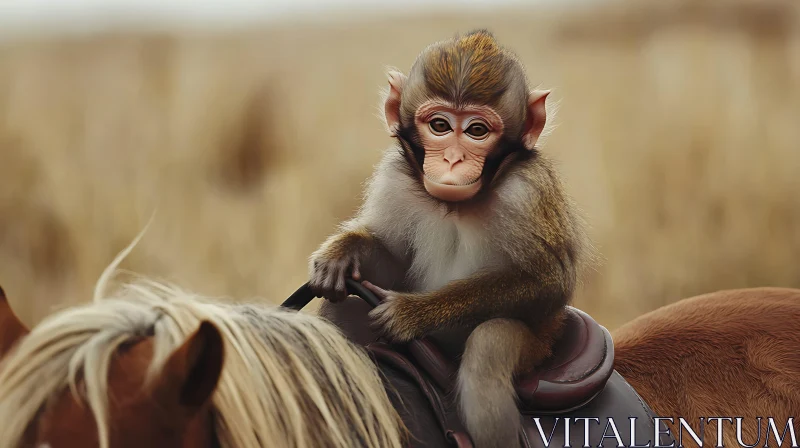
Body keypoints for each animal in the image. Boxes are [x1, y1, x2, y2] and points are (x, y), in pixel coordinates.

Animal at [310, 30, 592, 448]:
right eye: (440, 125)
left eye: (477, 131)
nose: (453, 160)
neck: (455, 206)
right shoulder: (394, 179)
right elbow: (391, 260)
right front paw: (341, 255)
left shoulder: (528, 191)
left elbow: (549, 280)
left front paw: (413, 313)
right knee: (343, 312)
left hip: (538, 347)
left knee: (487, 355)